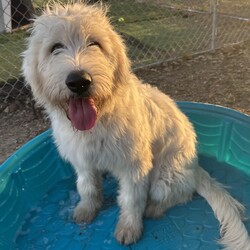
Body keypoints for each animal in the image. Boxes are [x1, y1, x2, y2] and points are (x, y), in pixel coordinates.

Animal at [22, 1, 250, 248]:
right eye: (55, 47)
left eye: (95, 43)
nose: (79, 81)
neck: (99, 119)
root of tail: (195, 167)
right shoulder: (83, 161)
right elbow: (87, 186)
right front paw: (87, 209)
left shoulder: (135, 166)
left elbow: (131, 199)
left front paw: (129, 227)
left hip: (164, 178)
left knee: (180, 194)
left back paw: (154, 208)